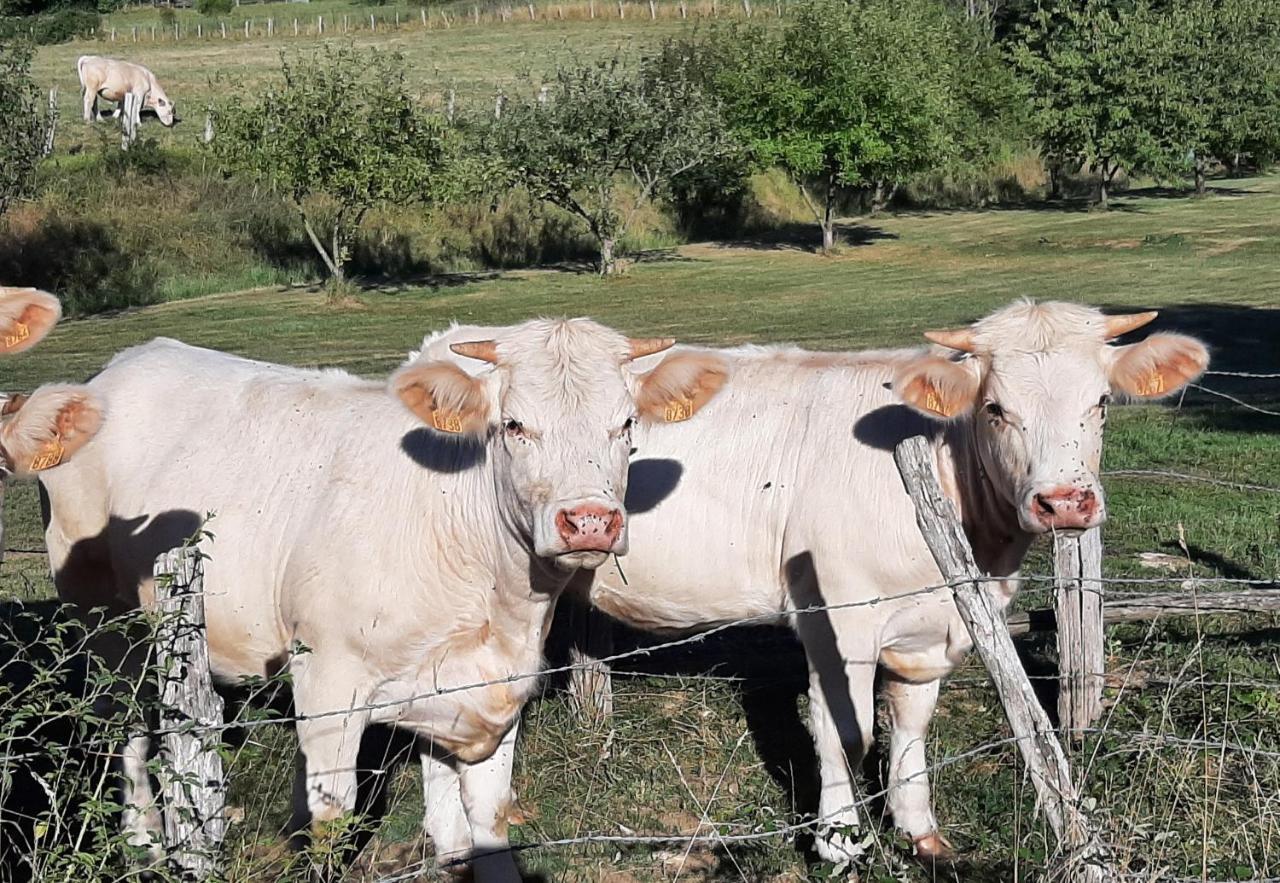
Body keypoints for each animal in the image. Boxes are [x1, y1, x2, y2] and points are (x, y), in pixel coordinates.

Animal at [42, 319, 732, 875]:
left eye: (626, 424)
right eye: (513, 425)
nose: (589, 521)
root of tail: (127, 362)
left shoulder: (484, 690)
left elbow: (483, 818)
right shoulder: (328, 680)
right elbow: (331, 820)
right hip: (102, 618)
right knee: (125, 727)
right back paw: (143, 842)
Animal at [419, 299, 1208, 865]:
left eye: (1099, 403)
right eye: (995, 408)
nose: (1065, 503)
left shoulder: (933, 628)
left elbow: (909, 727)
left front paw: (921, 832)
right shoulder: (839, 614)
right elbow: (844, 732)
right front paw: (839, 842)